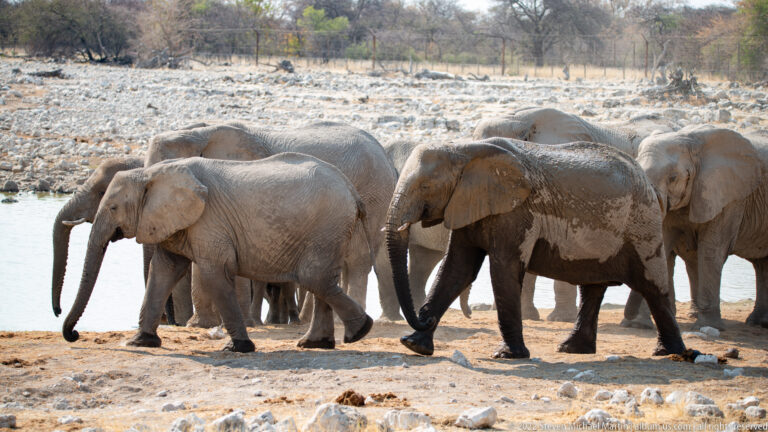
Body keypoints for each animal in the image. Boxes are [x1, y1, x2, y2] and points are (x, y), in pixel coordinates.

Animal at [144, 121, 397, 326]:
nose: (170, 322)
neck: (198, 133)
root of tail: (383, 153)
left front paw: (201, 325)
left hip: (372, 192)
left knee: (356, 258)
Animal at [385, 138, 686, 358]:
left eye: (426, 186)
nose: (422, 318)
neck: (465, 149)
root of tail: (646, 180)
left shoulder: (517, 211)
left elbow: (503, 269)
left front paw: (508, 355)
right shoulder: (468, 203)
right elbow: (457, 269)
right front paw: (413, 344)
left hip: (642, 223)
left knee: (652, 284)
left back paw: (672, 353)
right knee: (592, 287)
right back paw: (572, 349)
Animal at [623, 125, 768, 330]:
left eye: (673, 178)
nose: (628, 320)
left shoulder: (730, 196)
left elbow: (711, 251)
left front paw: (708, 326)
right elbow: (663, 246)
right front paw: (640, 324)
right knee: (761, 264)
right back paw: (757, 322)